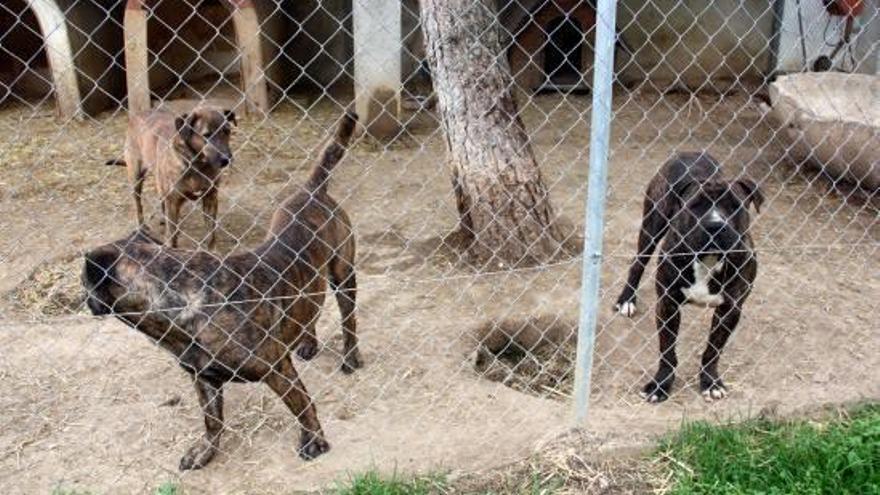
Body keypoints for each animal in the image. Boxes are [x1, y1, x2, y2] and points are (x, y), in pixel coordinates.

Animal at [107, 106, 237, 250]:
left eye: (227, 131)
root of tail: (139, 113)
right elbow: (172, 234)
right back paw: (142, 226)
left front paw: (211, 251)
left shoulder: (210, 197)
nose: (226, 159)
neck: (197, 165)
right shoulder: (173, 200)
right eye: (206, 135)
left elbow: (211, 233)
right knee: (138, 204)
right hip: (136, 177)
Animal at [612, 152, 764, 404]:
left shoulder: (730, 309)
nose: (715, 226)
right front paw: (660, 385)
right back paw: (627, 300)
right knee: (638, 263)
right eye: (696, 205)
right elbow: (667, 350)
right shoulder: (667, 303)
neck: (708, 259)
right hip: (652, 224)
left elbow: (713, 350)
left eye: (735, 206)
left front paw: (710, 382)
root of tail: (691, 152)